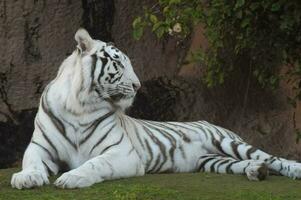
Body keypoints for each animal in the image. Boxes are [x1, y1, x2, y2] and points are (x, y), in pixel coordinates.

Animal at [10, 28, 300, 189]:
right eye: (119, 64)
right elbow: (31, 162)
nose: (138, 85)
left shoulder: (121, 153)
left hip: (228, 142)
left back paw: (290, 170)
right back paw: (256, 171)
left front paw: (72, 178)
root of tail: (209, 122)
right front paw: (26, 178)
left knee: (273, 158)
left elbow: (95, 163)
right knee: (252, 163)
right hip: (213, 161)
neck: (79, 106)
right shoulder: (41, 147)